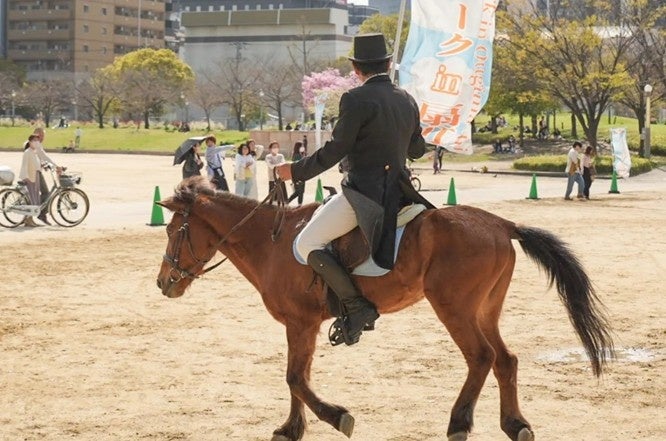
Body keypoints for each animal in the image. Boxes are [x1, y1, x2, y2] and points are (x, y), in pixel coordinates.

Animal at [156, 177, 612, 440]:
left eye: (172, 230)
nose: (163, 283)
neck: (272, 242)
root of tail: (501, 223)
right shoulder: (301, 325)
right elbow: (297, 378)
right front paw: (291, 429)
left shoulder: (300, 323)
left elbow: (295, 378)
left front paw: (336, 417)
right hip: (485, 309)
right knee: (505, 359)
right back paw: (515, 425)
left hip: (455, 309)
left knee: (481, 357)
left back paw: (459, 424)